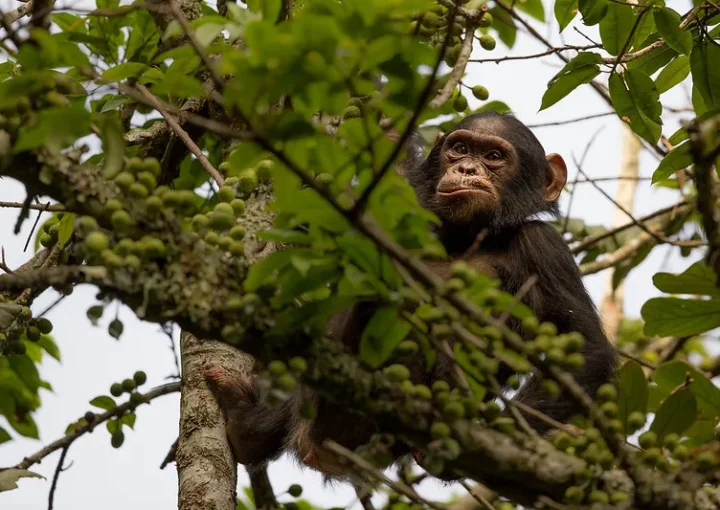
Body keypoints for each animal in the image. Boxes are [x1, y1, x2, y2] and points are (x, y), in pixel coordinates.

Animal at [205, 110, 618, 482]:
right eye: (459, 148)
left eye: (494, 156)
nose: (467, 168)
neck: (466, 235)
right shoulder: (405, 197)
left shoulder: (545, 249)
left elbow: (585, 346)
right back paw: (248, 425)